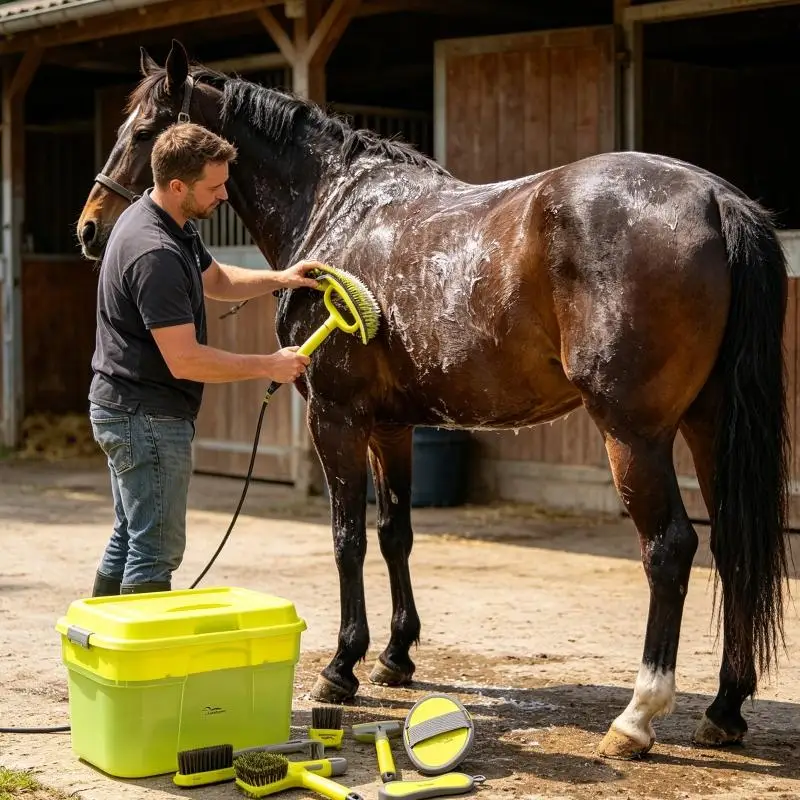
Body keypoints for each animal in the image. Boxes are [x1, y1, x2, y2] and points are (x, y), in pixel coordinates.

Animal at [77, 39, 791, 760]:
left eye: (143, 131)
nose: (89, 229)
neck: (337, 205)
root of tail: (715, 199)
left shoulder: (335, 418)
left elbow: (346, 537)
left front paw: (341, 667)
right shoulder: (391, 426)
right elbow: (395, 532)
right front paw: (396, 657)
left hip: (635, 433)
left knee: (669, 548)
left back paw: (637, 718)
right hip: (709, 423)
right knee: (731, 545)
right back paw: (724, 709)